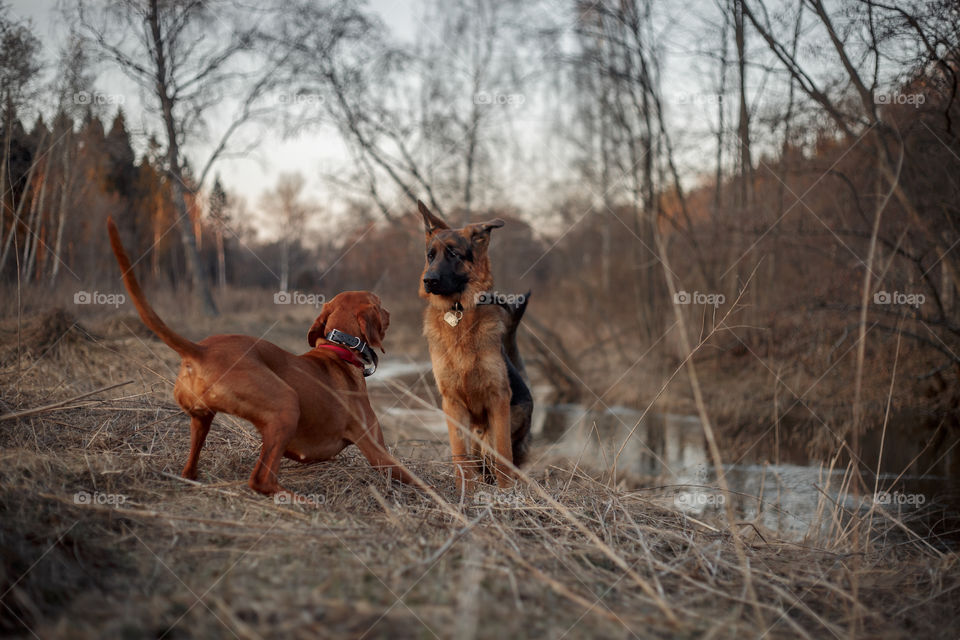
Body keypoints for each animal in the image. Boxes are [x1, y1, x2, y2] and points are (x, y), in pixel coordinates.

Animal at [109, 218, 416, 498]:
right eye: (379, 303)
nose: (390, 312)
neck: (339, 348)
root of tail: (200, 350)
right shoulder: (377, 450)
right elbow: (415, 479)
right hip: (286, 405)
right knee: (260, 480)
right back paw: (300, 499)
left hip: (202, 419)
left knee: (191, 468)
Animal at [414, 200, 532, 490]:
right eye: (430, 256)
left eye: (454, 254)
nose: (428, 280)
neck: (457, 312)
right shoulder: (451, 402)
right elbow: (459, 453)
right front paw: (464, 489)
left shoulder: (498, 399)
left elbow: (503, 453)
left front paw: (506, 492)